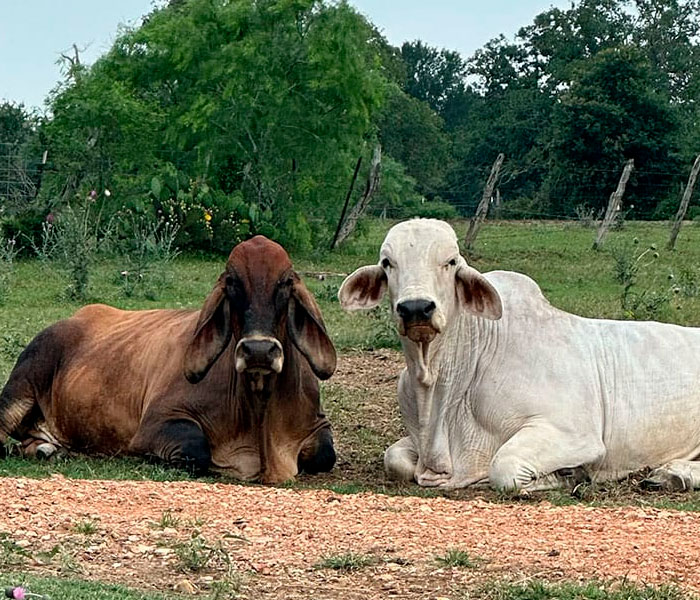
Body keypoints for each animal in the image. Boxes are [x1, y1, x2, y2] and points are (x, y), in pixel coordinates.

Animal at [0, 235, 337, 483]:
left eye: (285, 283)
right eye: (232, 282)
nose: (258, 350)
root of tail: (72, 319)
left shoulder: (317, 425)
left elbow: (325, 454)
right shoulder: (155, 424)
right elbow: (196, 451)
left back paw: (47, 450)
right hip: (20, 386)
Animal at [338, 218, 700, 492]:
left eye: (450, 261)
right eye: (388, 263)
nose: (416, 308)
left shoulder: (575, 433)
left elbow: (504, 467)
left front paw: (567, 475)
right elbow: (394, 459)